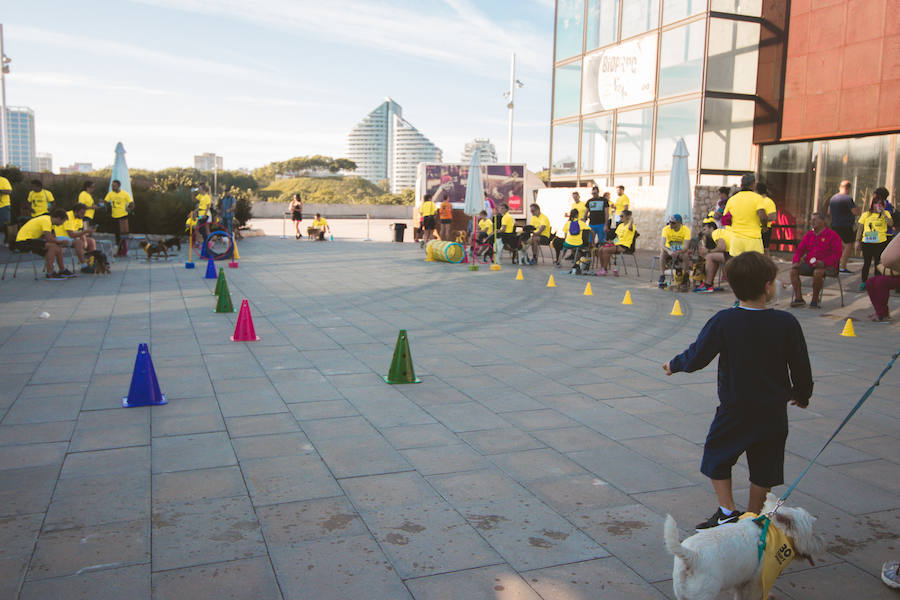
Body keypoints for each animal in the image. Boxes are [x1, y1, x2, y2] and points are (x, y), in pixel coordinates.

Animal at [660, 494, 824, 600]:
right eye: (812, 532)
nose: (822, 543)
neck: (773, 531)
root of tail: (692, 556)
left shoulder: (743, 580)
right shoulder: (757, 581)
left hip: (683, 590)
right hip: (705, 593)